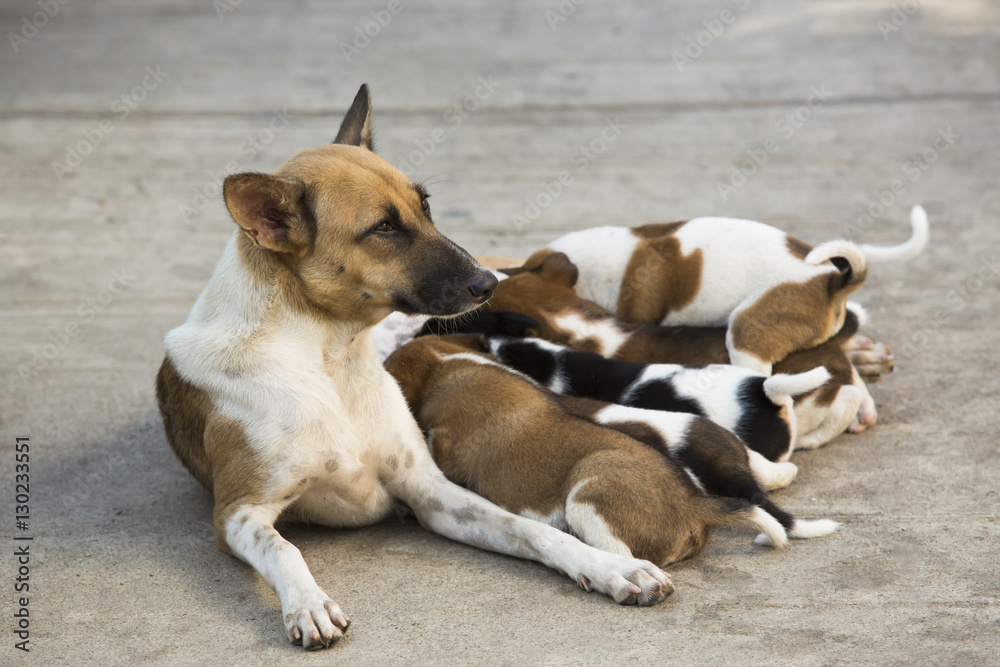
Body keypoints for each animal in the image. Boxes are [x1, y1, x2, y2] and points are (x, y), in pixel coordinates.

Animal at [158, 85, 672, 652]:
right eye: (383, 228)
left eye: (424, 205)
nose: (487, 284)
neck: (329, 358)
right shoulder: (237, 512)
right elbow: (284, 548)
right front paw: (308, 602)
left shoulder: (428, 490)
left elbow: (531, 528)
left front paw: (607, 566)